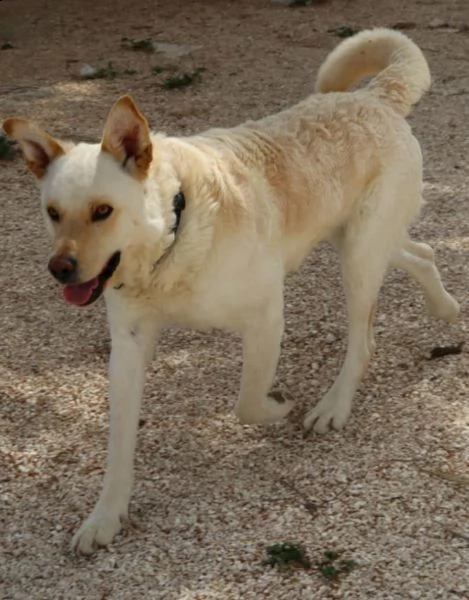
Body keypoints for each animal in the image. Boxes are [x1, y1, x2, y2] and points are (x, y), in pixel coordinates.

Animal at [2, 27, 458, 552]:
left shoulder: (265, 317)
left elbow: (247, 404)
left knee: (363, 341)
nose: (60, 269)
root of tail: (373, 97)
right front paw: (105, 518)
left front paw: (280, 407)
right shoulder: (129, 347)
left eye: (102, 211)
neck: (173, 234)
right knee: (422, 253)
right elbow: (118, 445)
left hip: (360, 257)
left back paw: (334, 406)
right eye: (53, 213)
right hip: (359, 242)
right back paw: (446, 307)